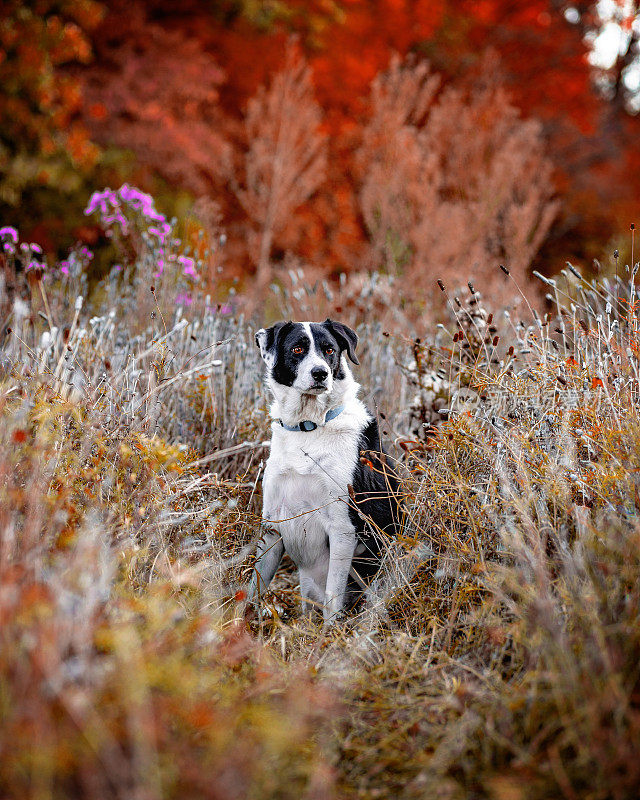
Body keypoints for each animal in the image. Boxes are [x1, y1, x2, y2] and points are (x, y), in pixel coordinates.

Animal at [249, 318, 400, 624]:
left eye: (330, 350)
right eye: (297, 348)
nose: (320, 373)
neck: (309, 428)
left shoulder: (343, 529)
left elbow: (333, 597)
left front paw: (329, 636)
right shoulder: (272, 526)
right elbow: (250, 589)